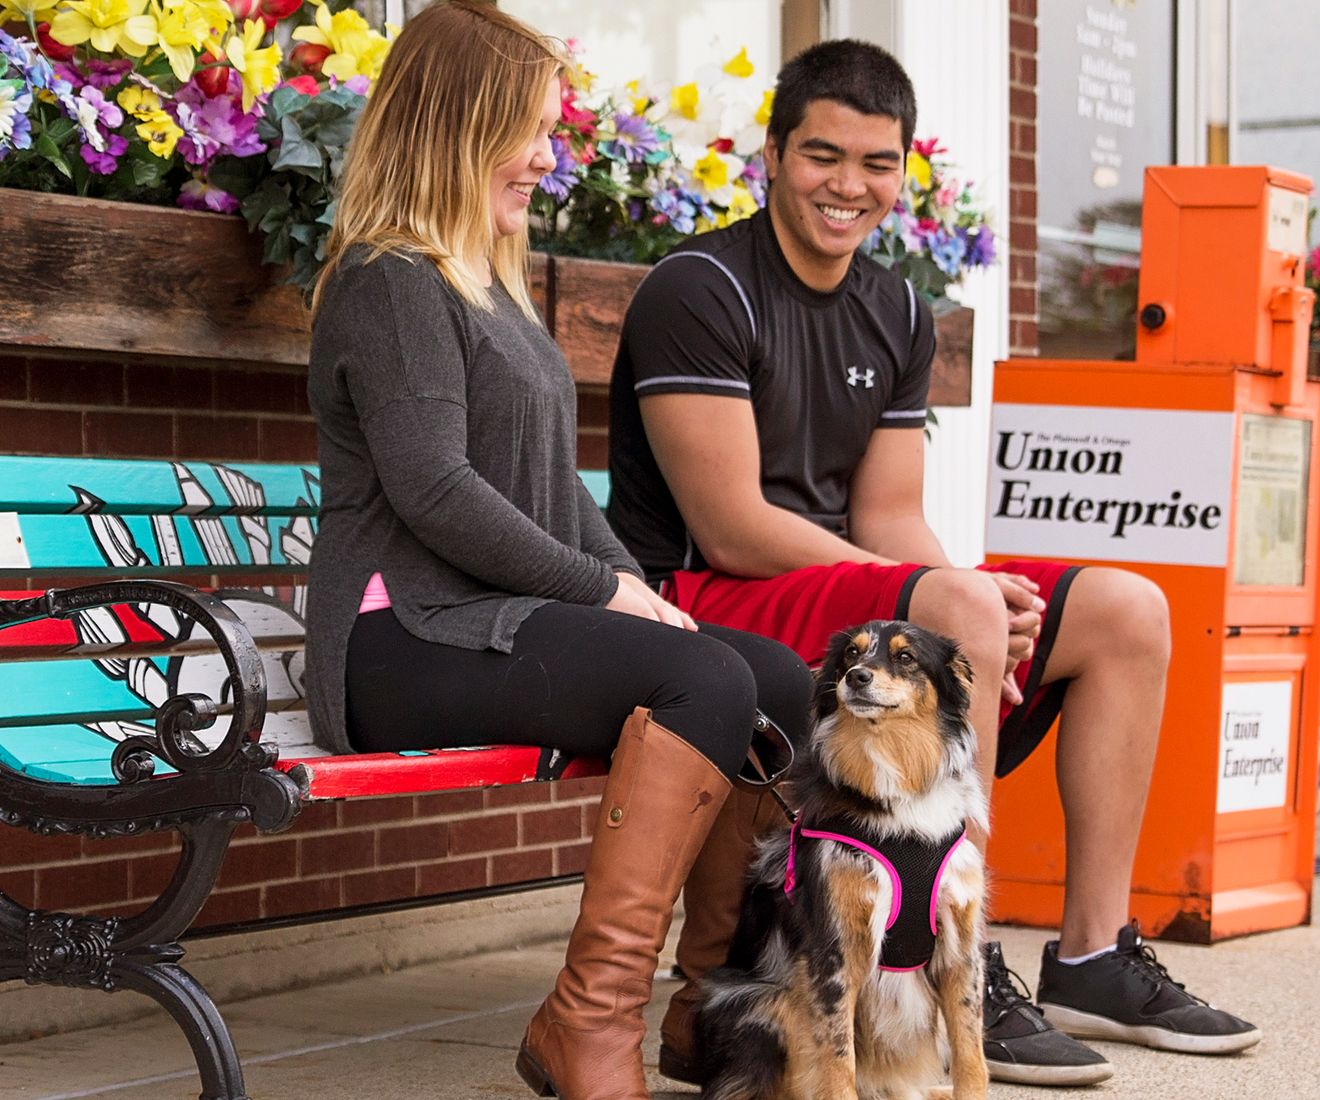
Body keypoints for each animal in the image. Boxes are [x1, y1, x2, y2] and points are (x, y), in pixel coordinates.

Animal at [696, 623, 987, 1093]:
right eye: (851, 654)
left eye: (906, 658)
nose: (857, 677)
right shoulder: (835, 947)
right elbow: (836, 1057)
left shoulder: (960, 947)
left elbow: (971, 1051)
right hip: (758, 1000)